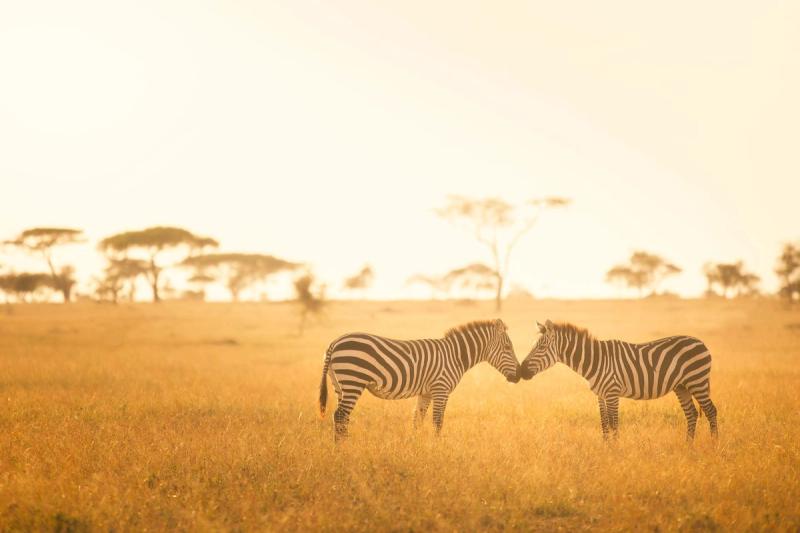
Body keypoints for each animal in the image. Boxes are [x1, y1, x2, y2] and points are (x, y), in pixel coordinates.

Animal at [318, 319, 520, 440]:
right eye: (508, 348)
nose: (519, 375)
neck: (455, 356)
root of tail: (334, 342)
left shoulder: (426, 393)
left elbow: (417, 420)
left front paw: (415, 447)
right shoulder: (441, 390)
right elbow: (438, 421)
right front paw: (437, 449)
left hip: (340, 385)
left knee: (341, 417)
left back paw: (342, 447)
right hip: (353, 380)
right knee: (340, 415)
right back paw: (343, 449)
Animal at [519, 320, 718, 441]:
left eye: (541, 347)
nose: (521, 370)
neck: (596, 360)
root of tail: (701, 343)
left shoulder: (612, 392)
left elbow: (614, 422)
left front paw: (615, 450)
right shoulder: (600, 395)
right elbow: (604, 422)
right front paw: (606, 448)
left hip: (697, 381)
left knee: (710, 411)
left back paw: (714, 446)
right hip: (682, 386)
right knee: (691, 414)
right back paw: (688, 446)